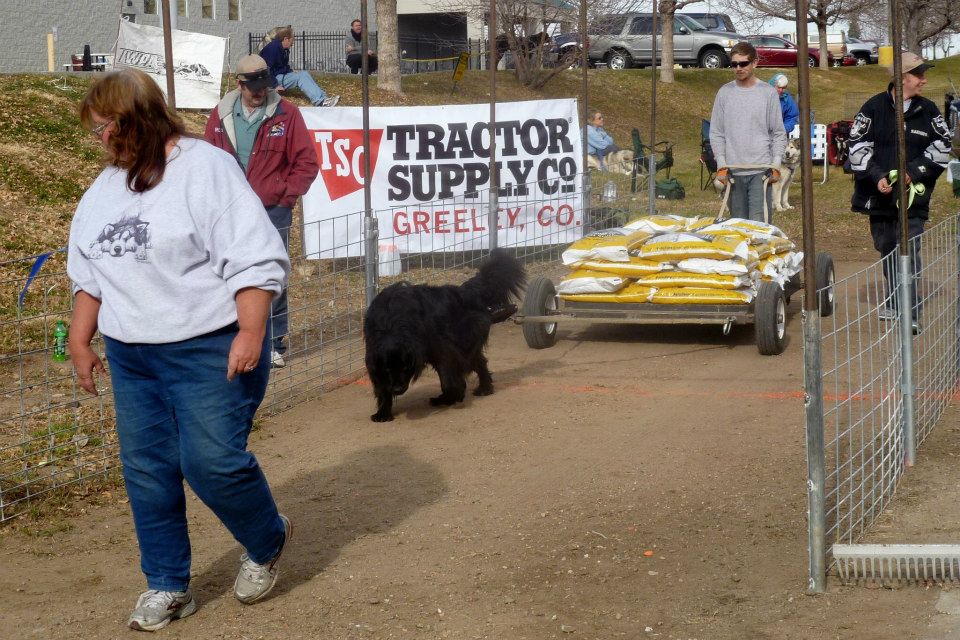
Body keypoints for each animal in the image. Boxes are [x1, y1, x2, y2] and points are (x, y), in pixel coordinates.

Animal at [362, 249, 524, 420]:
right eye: (387, 370)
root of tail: (464, 292)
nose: (398, 389)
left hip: (464, 341)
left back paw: (474, 391)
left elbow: (449, 380)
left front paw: (453, 396)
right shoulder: (374, 358)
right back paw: (483, 388)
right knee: (480, 361)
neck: (391, 326)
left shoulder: (443, 349)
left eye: (405, 367)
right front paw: (383, 413)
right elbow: (381, 387)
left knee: (473, 363)